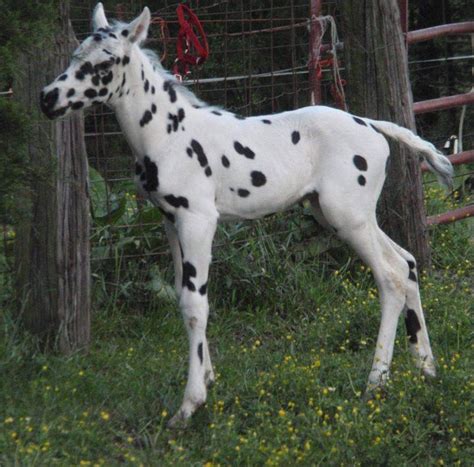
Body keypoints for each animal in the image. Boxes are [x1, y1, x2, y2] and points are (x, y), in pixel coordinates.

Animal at [39, 3, 452, 428]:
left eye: (105, 63)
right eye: (75, 55)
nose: (47, 99)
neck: (168, 133)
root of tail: (372, 125)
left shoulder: (198, 220)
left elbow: (195, 305)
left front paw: (190, 404)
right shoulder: (170, 222)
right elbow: (183, 296)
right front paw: (207, 377)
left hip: (348, 217)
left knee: (391, 276)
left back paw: (376, 382)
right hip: (343, 215)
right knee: (407, 263)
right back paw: (425, 367)